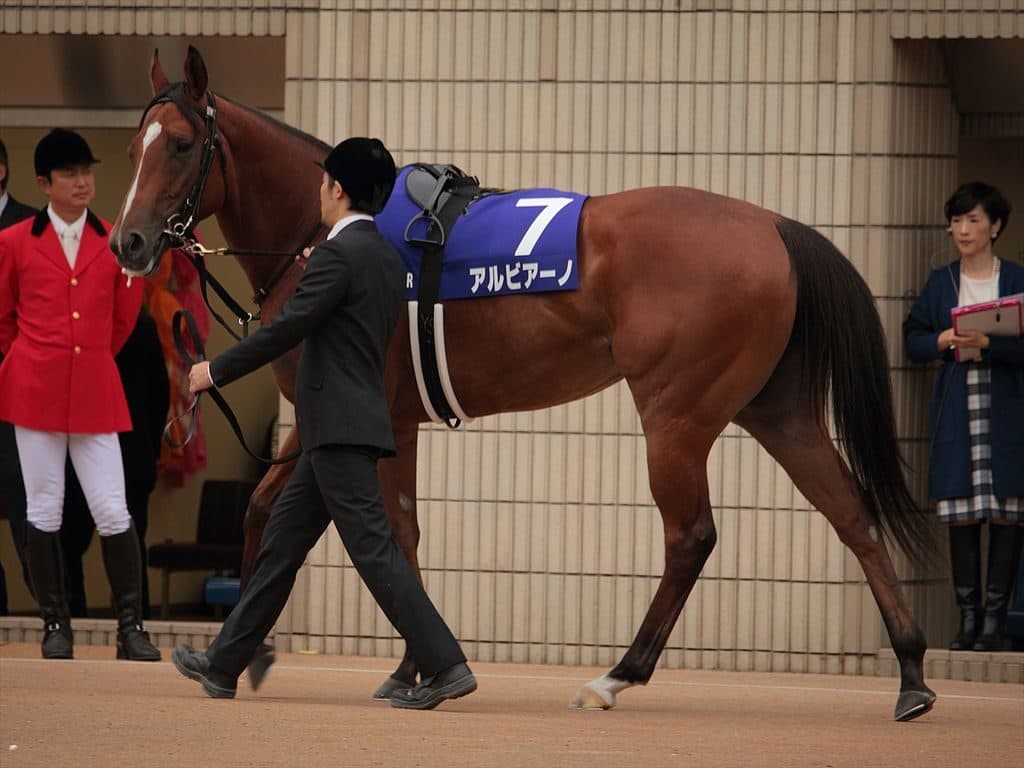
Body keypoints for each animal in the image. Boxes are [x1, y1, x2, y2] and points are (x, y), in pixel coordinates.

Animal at [110, 46, 936, 722]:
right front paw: (291, 652)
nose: (130, 242)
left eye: (181, 145)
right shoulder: (364, 418)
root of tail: (771, 225)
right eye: (133, 145)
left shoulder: (356, 414)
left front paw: (368, 665)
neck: (323, 233)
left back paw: (617, 676)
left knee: (691, 536)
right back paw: (910, 673)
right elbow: (334, 520)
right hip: (776, 408)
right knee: (851, 514)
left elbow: (353, 524)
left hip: (676, 414)